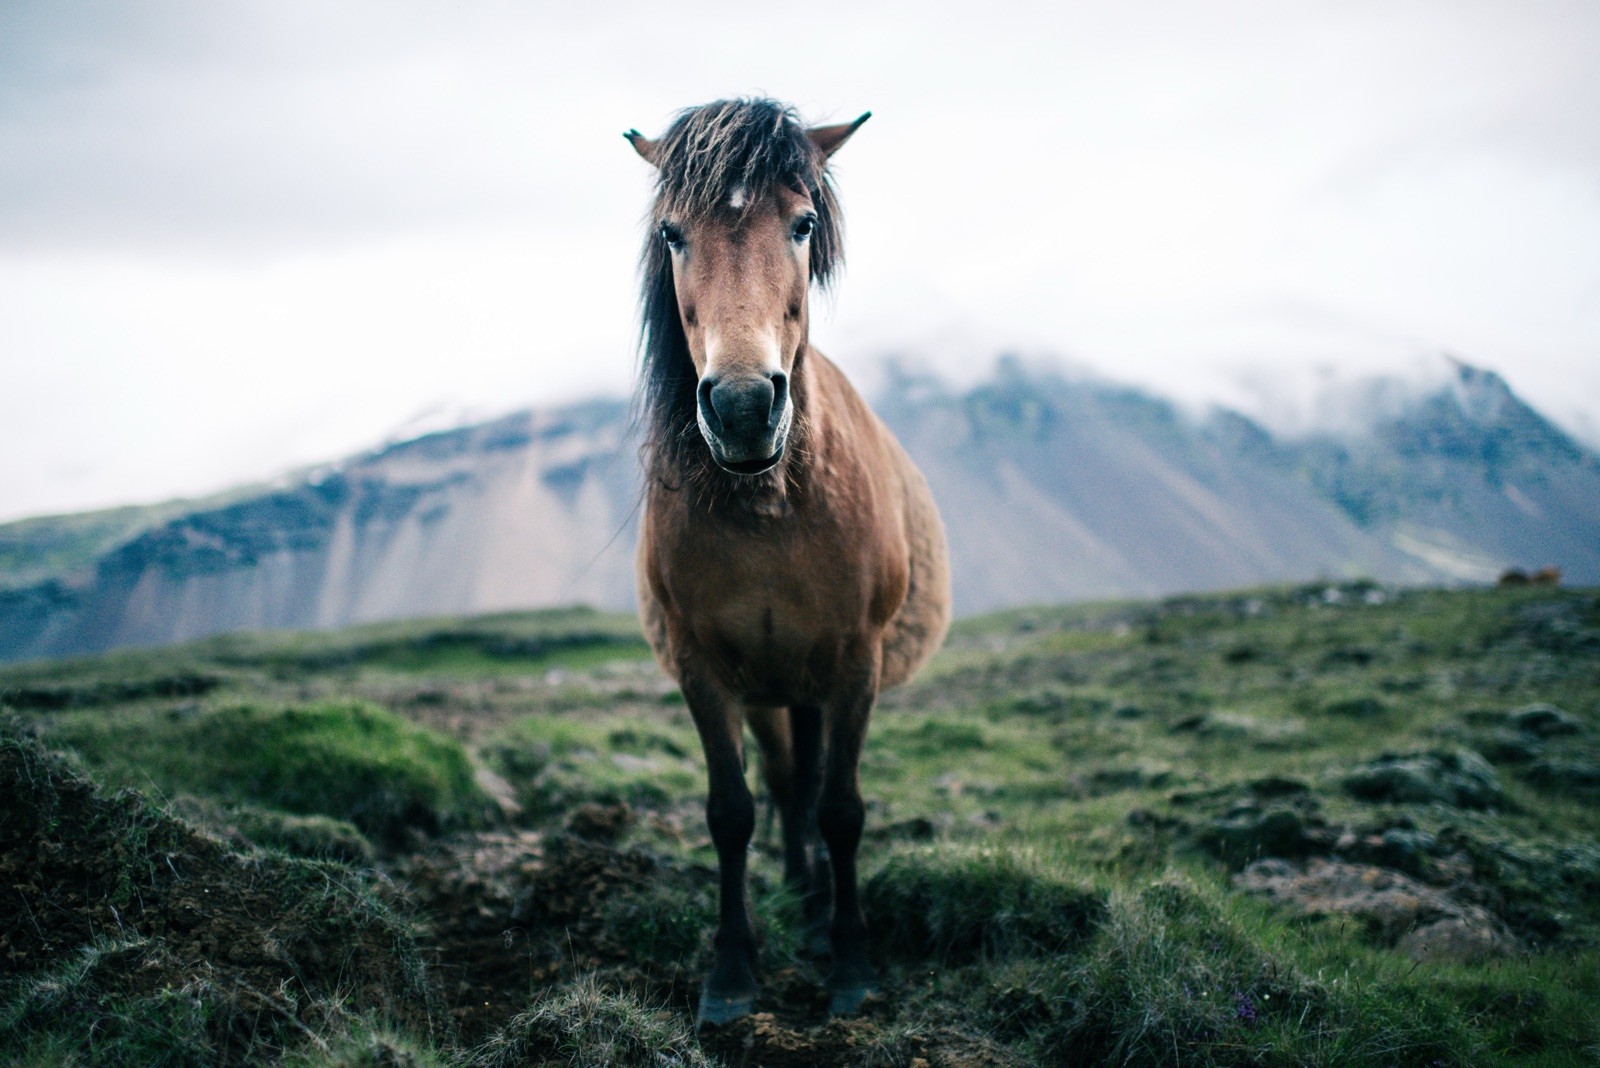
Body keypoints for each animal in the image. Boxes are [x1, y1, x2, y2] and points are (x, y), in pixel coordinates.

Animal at [624, 98, 950, 1024]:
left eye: (802, 224)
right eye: (672, 233)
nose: (741, 406)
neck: (770, 509)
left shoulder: (856, 663)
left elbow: (840, 809)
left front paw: (851, 963)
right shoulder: (705, 669)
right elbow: (732, 811)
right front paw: (732, 971)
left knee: (807, 786)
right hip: (771, 691)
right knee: (782, 777)